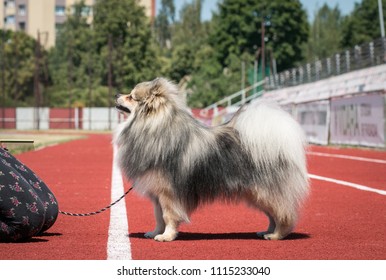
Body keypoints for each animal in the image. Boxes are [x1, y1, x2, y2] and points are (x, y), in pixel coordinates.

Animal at [113, 77, 310, 242]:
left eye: (131, 97)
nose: (117, 94)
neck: (152, 127)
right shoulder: (157, 195)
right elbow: (158, 217)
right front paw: (155, 232)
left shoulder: (168, 193)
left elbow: (168, 216)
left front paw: (166, 236)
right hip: (258, 195)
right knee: (273, 214)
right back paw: (267, 231)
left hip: (265, 192)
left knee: (284, 214)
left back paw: (276, 235)